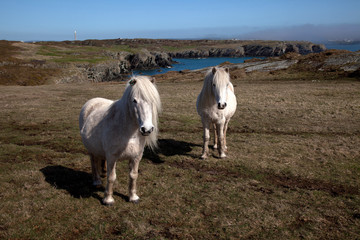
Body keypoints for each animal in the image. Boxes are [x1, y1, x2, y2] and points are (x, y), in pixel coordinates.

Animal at [80, 75, 163, 204]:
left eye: (152, 101)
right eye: (134, 101)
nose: (147, 129)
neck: (128, 133)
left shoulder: (136, 157)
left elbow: (133, 176)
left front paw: (133, 197)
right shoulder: (112, 157)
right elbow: (111, 177)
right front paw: (108, 199)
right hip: (91, 150)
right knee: (93, 161)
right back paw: (97, 181)